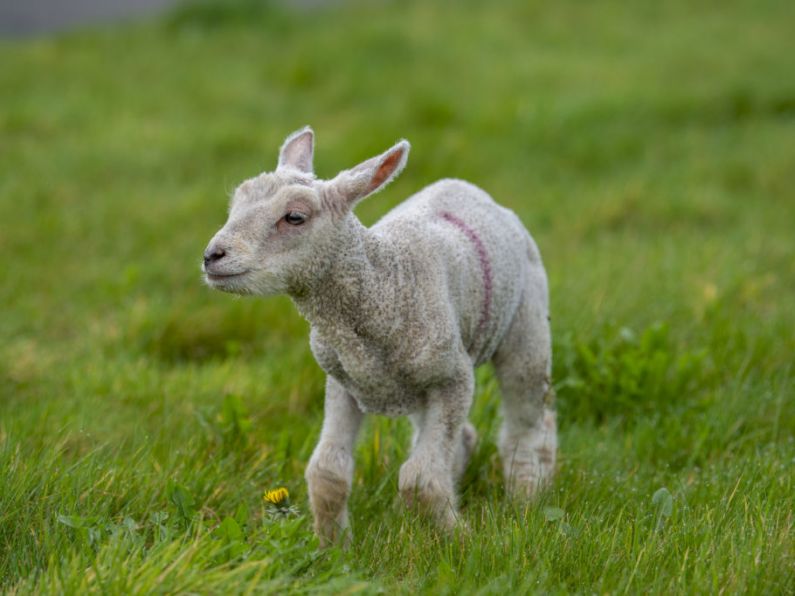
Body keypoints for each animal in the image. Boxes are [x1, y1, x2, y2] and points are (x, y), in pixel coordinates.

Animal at [202, 127, 556, 544]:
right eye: (235, 203)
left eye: (295, 217)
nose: (212, 256)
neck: (386, 285)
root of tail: (468, 187)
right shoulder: (344, 380)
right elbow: (327, 472)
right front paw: (334, 547)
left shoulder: (453, 378)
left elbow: (419, 479)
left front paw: (460, 538)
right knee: (461, 437)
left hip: (526, 323)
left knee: (528, 423)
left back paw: (528, 495)